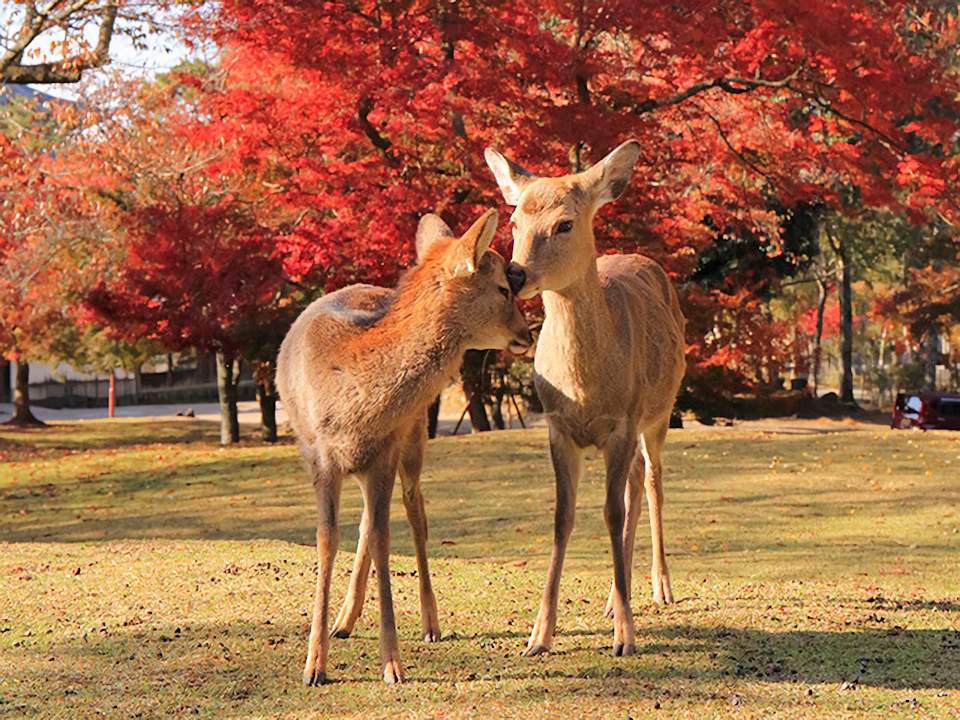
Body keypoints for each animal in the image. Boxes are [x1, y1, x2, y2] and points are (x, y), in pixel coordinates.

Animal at [276, 208, 532, 685]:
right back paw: (344, 621)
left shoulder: (386, 451)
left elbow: (383, 537)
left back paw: (430, 623)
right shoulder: (320, 456)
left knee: (415, 512)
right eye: (503, 289)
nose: (527, 333)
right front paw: (313, 665)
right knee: (365, 522)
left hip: (414, 439)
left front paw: (392, 664)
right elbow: (327, 537)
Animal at [485, 140, 686, 657]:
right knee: (635, 484)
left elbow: (611, 513)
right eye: (513, 220)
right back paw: (616, 599)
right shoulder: (557, 427)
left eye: (565, 223)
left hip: (660, 411)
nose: (515, 275)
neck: (585, 391)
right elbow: (562, 517)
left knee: (652, 481)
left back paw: (660, 588)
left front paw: (626, 637)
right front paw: (538, 635)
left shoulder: (623, 423)